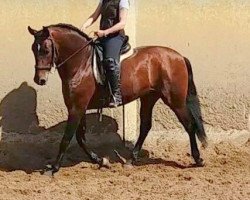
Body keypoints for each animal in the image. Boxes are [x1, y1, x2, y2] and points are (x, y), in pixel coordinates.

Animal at [27, 23, 207, 175]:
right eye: (33, 49)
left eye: (45, 50)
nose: (39, 80)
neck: (80, 63)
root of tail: (179, 56)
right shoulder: (78, 107)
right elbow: (80, 137)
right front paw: (100, 160)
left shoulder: (77, 107)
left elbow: (66, 138)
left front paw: (54, 168)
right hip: (149, 97)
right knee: (145, 126)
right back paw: (131, 159)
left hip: (175, 100)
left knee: (189, 125)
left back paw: (198, 159)